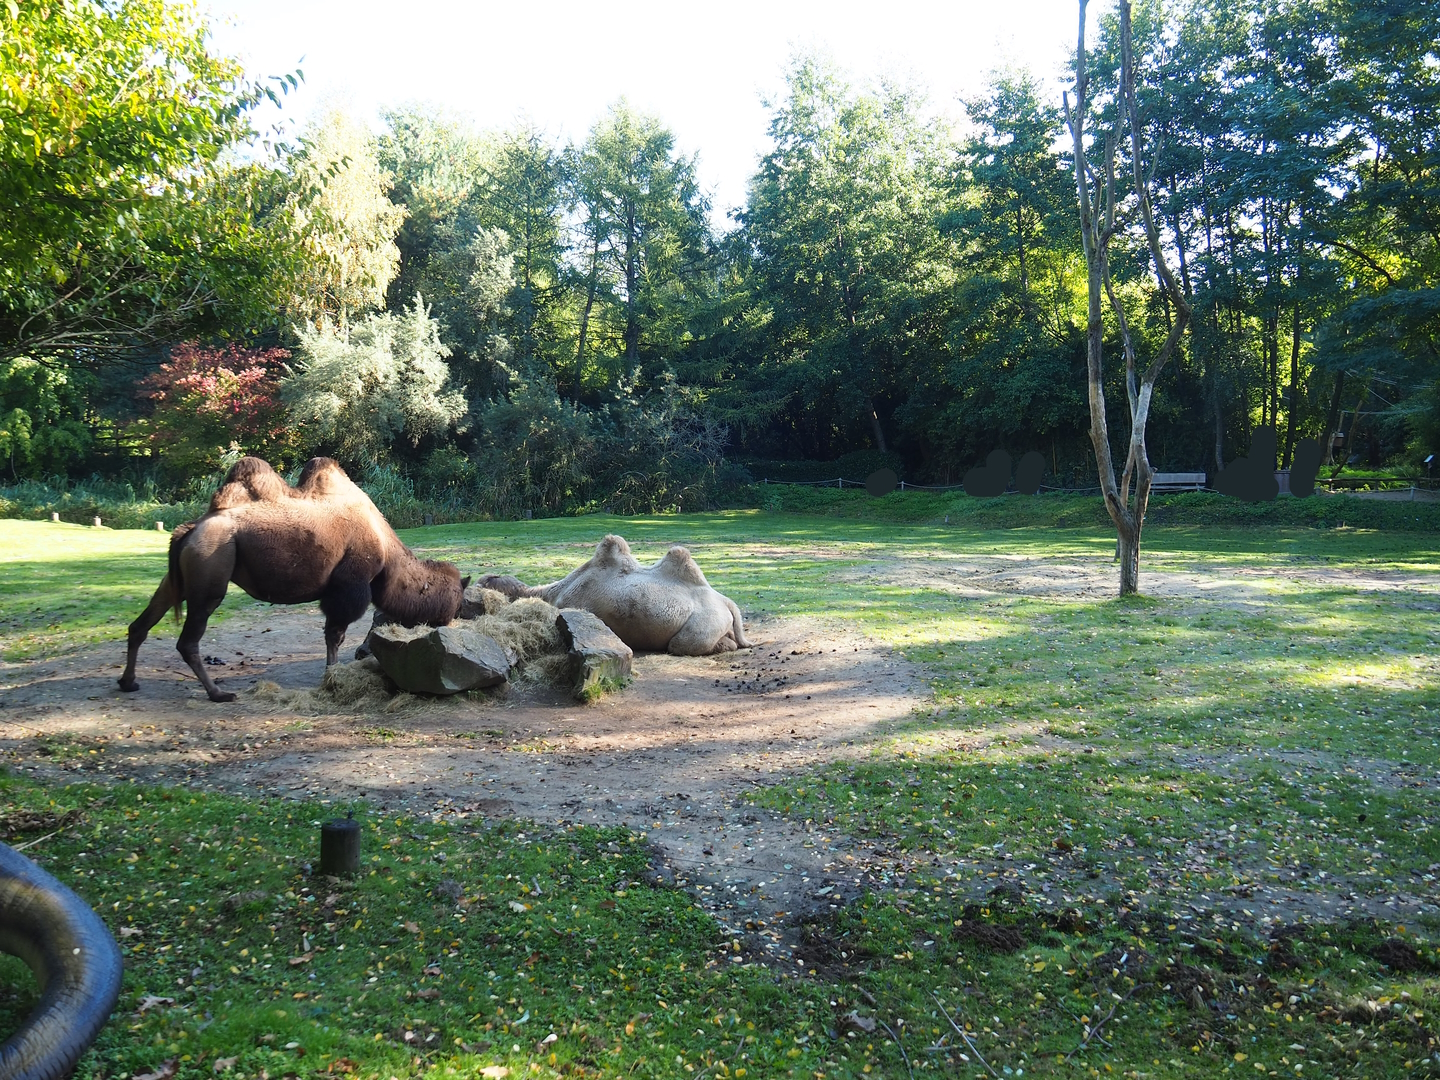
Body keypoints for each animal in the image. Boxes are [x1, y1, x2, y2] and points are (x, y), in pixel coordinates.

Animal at [118, 456, 466, 702]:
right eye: (458, 598)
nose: (451, 620)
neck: (388, 555)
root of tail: (189, 530)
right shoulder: (348, 587)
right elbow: (335, 635)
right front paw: (331, 676)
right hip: (210, 571)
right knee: (188, 639)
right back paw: (218, 693)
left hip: (177, 577)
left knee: (142, 623)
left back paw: (128, 682)